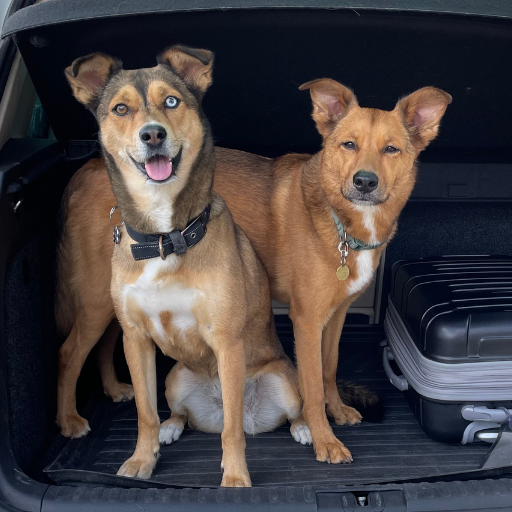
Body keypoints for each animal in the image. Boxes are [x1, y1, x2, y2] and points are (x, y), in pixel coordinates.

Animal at [60, 47, 310, 484]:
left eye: (172, 101)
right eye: (120, 108)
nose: (153, 135)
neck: (165, 237)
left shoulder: (227, 341)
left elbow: (231, 431)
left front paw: (236, 479)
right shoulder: (136, 338)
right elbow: (144, 414)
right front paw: (142, 460)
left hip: (282, 380)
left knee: (264, 416)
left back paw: (303, 430)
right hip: (170, 374)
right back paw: (153, 426)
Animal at [214, 81, 450, 464]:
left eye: (391, 149)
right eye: (349, 144)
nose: (365, 182)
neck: (344, 227)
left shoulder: (336, 315)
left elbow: (329, 368)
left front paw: (336, 411)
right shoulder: (307, 321)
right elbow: (310, 385)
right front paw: (324, 440)